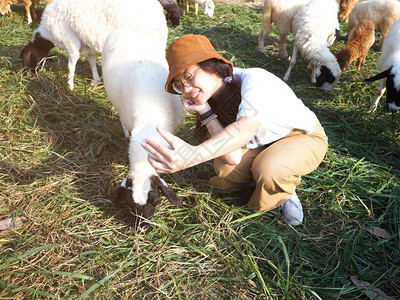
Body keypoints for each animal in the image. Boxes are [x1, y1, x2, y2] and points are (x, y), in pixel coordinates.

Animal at [18, 0, 166, 90]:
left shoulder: (71, 43)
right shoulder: (89, 47)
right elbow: (91, 63)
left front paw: (69, 86)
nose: (32, 74)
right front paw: (95, 80)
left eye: (31, 57)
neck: (48, 34)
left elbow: (71, 67)